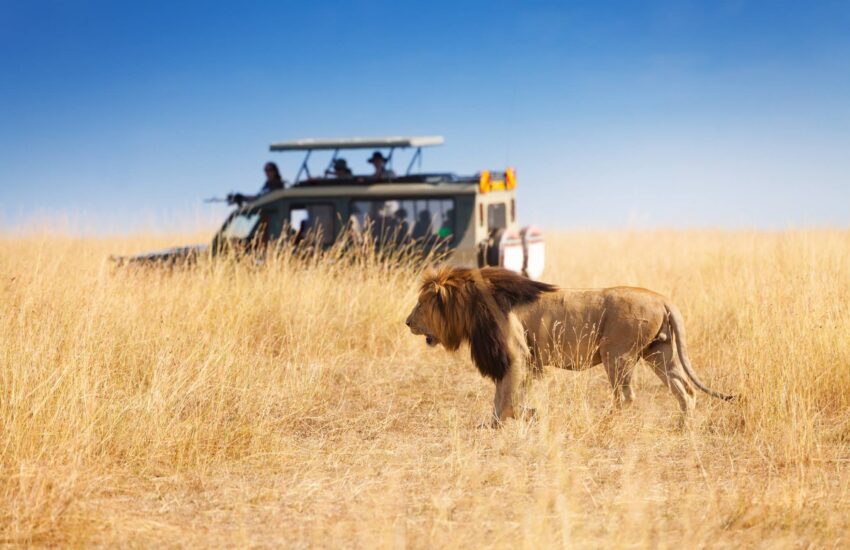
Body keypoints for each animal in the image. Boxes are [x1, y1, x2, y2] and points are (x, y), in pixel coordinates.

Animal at [405, 266, 734, 424]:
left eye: (420, 304)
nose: (407, 322)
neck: (471, 305)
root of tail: (662, 298)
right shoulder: (518, 359)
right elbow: (501, 398)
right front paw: (495, 424)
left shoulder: (516, 354)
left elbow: (508, 399)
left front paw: (528, 415)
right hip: (658, 353)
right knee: (686, 390)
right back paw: (683, 429)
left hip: (617, 355)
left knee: (626, 397)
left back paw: (604, 424)